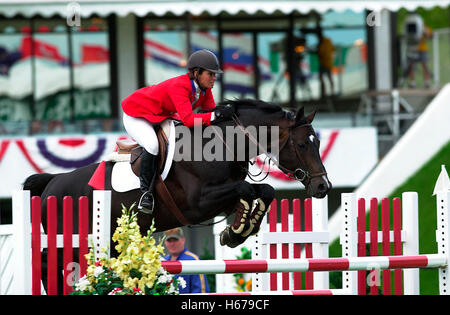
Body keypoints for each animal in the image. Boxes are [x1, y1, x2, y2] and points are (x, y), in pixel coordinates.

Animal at [23, 99, 330, 294]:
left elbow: (263, 190)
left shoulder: (222, 197)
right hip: (71, 240)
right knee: (46, 261)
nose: (323, 187)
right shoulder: (199, 203)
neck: (223, 146)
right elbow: (247, 189)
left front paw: (237, 231)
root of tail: (52, 183)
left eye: (317, 142)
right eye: (302, 144)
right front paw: (237, 230)